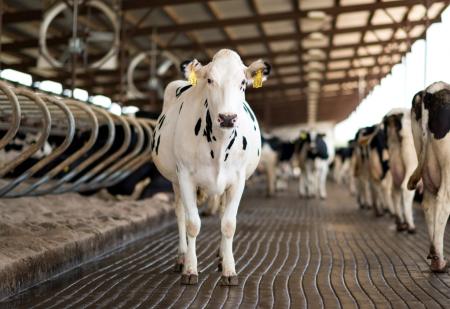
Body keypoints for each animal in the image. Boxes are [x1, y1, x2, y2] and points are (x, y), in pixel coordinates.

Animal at [151, 49, 270, 286]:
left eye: (242, 83)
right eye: (210, 80)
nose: (227, 118)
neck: (219, 144)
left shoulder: (238, 180)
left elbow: (229, 224)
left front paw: (230, 270)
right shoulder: (185, 176)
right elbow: (192, 223)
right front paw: (190, 269)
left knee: (222, 212)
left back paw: (222, 257)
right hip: (175, 180)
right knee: (179, 212)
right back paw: (181, 257)